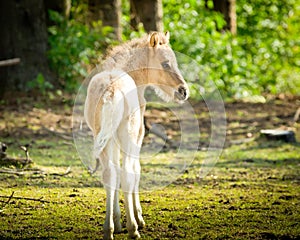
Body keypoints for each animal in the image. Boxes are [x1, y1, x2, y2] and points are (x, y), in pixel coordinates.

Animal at [83, 31, 189, 238]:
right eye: (166, 63)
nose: (183, 91)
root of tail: (112, 91)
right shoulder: (137, 137)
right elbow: (135, 172)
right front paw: (138, 218)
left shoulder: (112, 140)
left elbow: (115, 173)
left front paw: (118, 221)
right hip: (128, 135)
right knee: (127, 174)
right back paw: (133, 227)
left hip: (104, 138)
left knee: (110, 174)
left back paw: (108, 230)